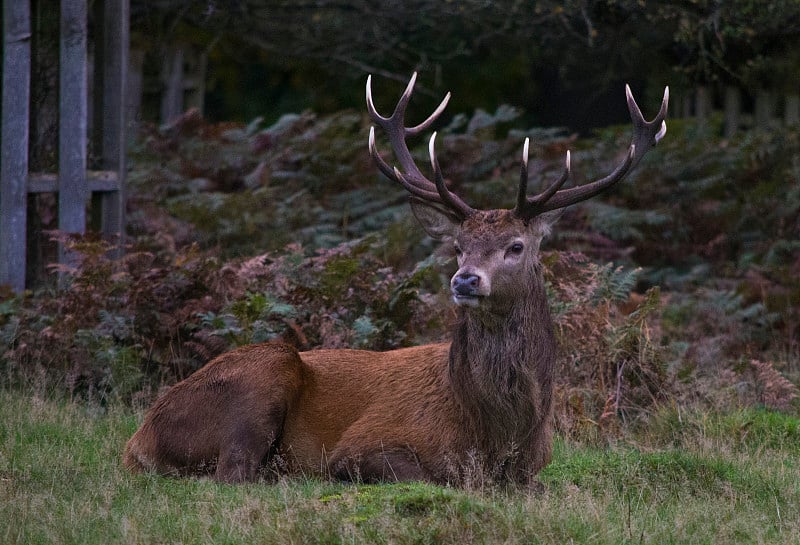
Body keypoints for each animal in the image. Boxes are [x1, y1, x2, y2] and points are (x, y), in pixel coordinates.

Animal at [122, 72, 664, 484]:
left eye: (516, 246)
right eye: (457, 246)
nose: (465, 280)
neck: (496, 431)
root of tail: (138, 437)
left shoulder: (535, 468)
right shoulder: (363, 446)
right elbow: (429, 476)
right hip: (262, 374)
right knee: (233, 472)